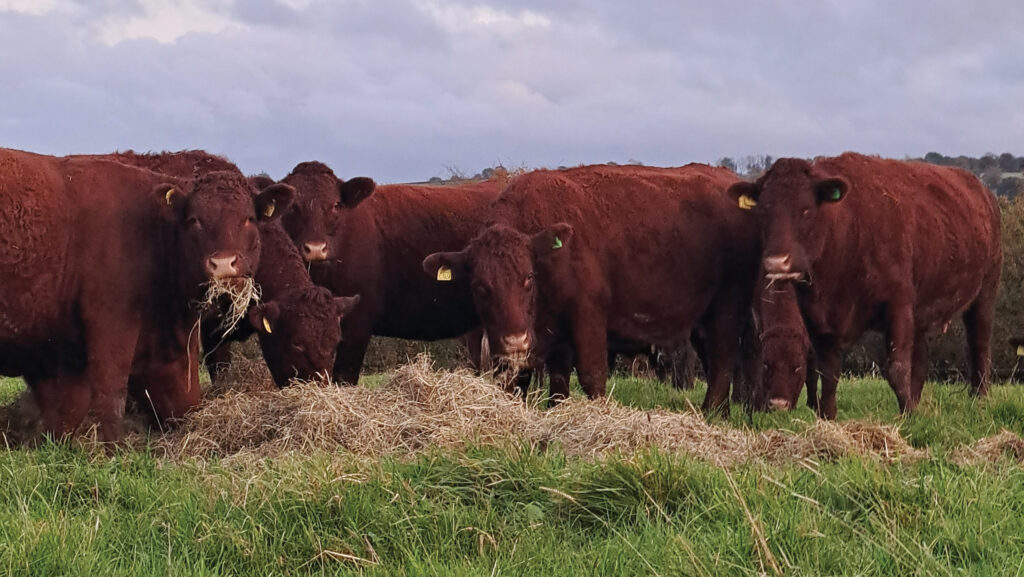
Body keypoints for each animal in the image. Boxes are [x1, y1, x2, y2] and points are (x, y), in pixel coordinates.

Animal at [0, 148, 293, 440]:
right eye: (194, 220)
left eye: (249, 219)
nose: (223, 264)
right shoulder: (111, 321)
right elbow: (111, 393)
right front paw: (114, 447)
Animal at [422, 164, 759, 414]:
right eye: (480, 287)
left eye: (528, 278)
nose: (515, 340)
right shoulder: (551, 336)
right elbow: (550, 381)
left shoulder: (588, 318)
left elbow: (591, 376)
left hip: (728, 306)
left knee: (723, 358)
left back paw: (710, 412)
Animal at [729, 153, 1002, 417]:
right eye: (763, 211)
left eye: (805, 210)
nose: (777, 262)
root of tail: (983, 190)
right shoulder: (817, 319)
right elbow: (829, 372)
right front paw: (827, 417)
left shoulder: (898, 305)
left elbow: (897, 368)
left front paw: (908, 416)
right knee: (922, 361)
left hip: (985, 294)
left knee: (979, 345)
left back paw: (979, 399)